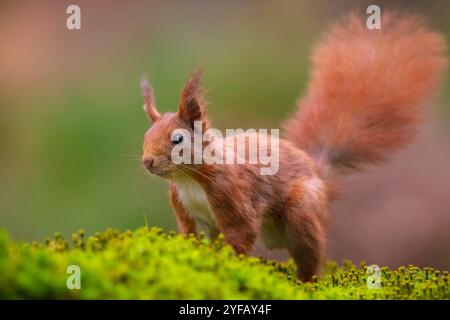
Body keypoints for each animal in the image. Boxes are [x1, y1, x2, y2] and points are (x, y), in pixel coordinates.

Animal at [140, 13, 446, 282]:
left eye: (178, 139)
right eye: (146, 135)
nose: (147, 162)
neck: (189, 180)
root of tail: (319, 173)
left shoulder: (232, 194)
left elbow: (241, 234)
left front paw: (228, 262)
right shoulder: (187, 211)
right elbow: (191, 236)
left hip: (302, 209)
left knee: (311, 252)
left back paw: (307, 280)